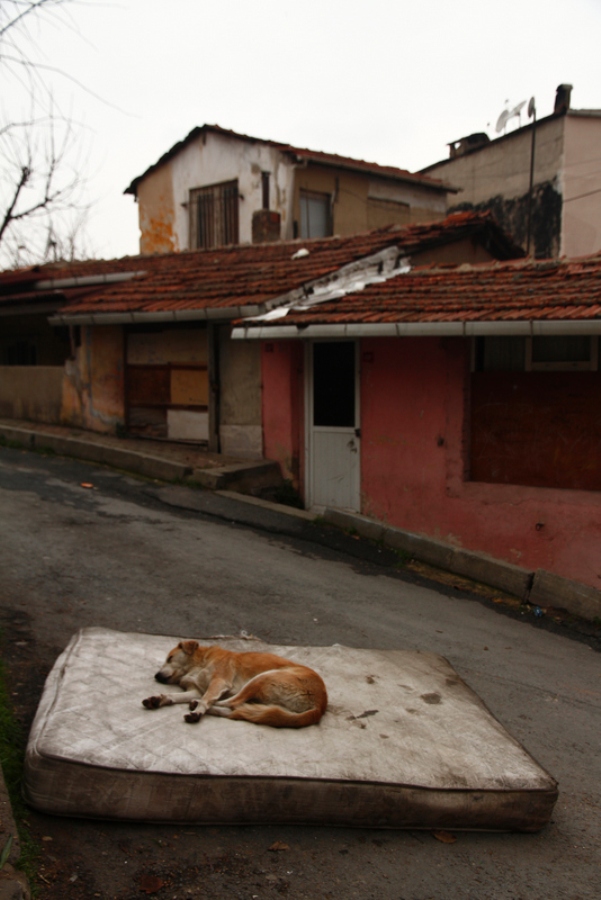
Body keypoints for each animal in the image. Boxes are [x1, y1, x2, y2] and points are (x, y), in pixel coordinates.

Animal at [142, 640, 328, 732]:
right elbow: (176, 697)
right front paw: (159, 698)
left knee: (232, 703)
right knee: (236, 710)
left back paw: (198, 708)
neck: (199, 663)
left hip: (263, 677)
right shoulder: (196, 690)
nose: (156, 676)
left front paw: (199, 710)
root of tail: (320, 706)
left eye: (170, 658)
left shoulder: (219, 682)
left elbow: (206, 699)